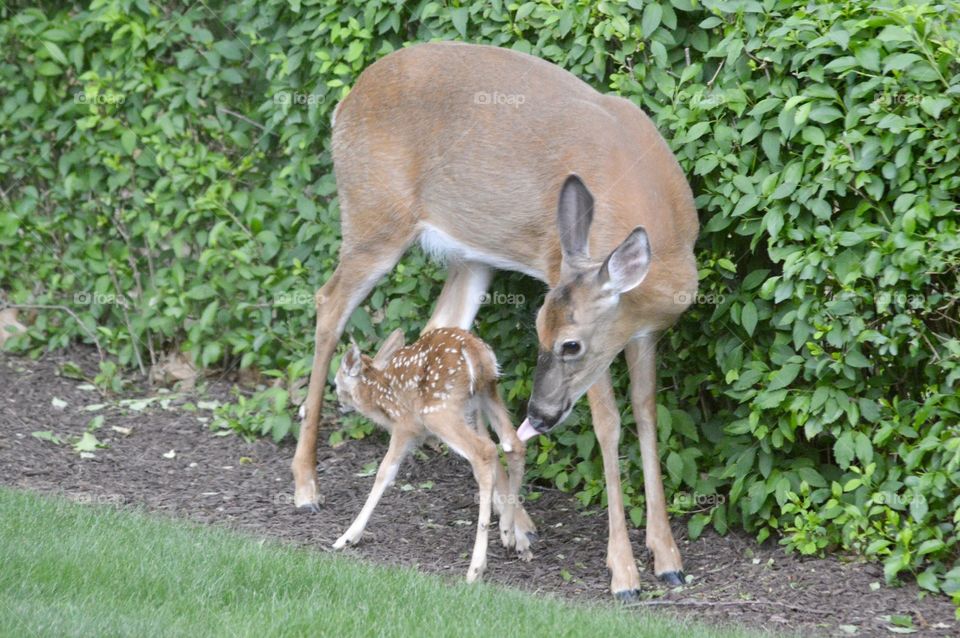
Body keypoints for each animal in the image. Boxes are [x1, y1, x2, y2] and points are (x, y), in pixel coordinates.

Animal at [331, 327, 533, 582]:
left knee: (485, 451)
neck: (378, 397)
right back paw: (508, 533)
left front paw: (347, 537)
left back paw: (476, 567)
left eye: (337, 379)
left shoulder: (405, 426)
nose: (338, 400)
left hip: (438, 410)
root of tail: (476, 351)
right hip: (487, 393)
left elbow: (384, 472)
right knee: (513, 444)